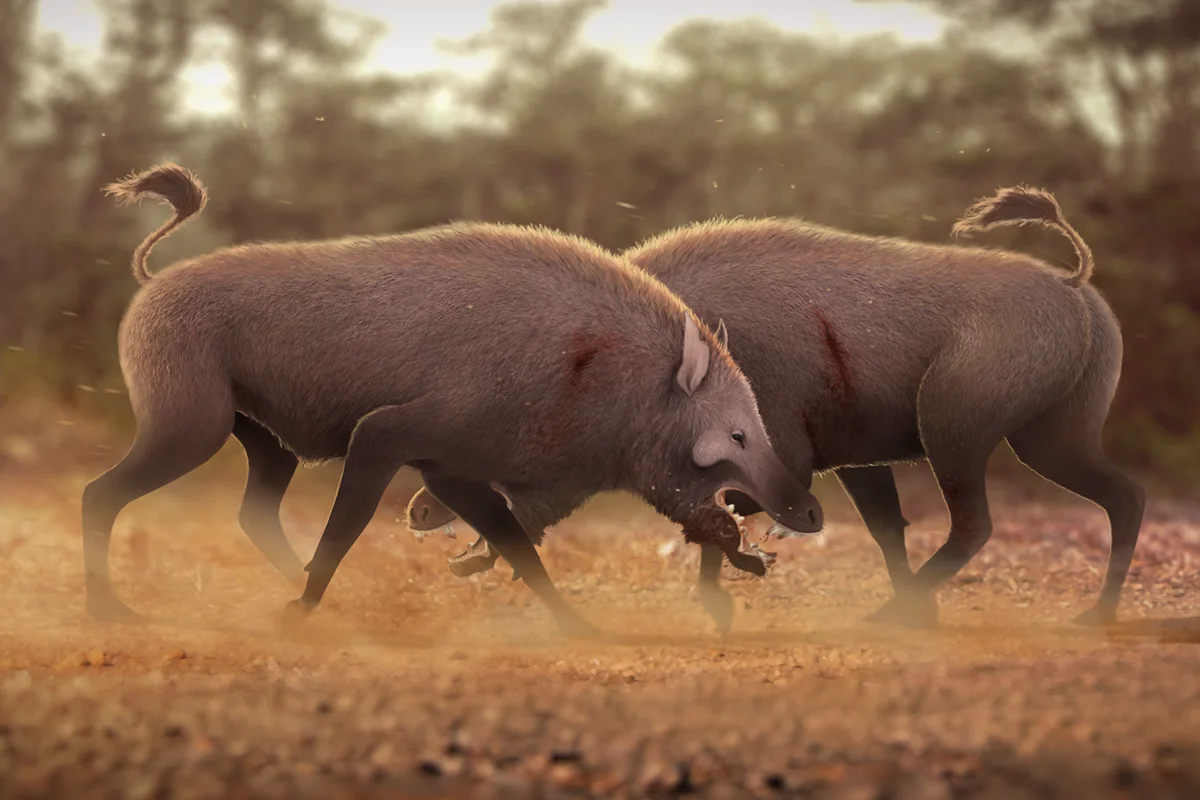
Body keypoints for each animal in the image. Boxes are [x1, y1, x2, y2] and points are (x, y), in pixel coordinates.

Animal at [83, 161, 824, 635]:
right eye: (736, 434)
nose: (809, 511)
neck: (596, 369)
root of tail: (152, 284)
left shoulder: (453, 471)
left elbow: (517, 548)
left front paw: (577, 626)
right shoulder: (388, 437)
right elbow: (350, 527)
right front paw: (297, 613)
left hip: (263, 442)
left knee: (254, 512)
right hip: (190, 425)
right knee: (100, 493)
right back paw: (113, 611)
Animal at [407, 185, 1145, 630]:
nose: (419, 509)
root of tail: (1075, 288)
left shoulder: (786, 456)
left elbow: (730, 515)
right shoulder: (852, 461)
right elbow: (882, 529)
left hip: (959, 433)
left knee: (977, 525)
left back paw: (887, 617)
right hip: (1048, 437)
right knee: (1124, 496)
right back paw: (1094, 614)